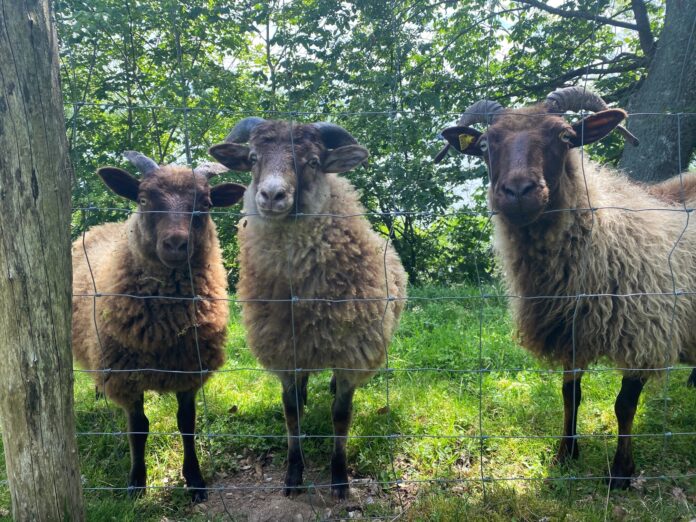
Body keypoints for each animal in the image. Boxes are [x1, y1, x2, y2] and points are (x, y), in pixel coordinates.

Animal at [72, 151, 245, 502]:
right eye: (143, 199)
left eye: (206, 204)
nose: (177, 244)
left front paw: (195, 480)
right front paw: (136, 483)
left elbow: (187, 423)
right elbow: (138, 428)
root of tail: (99, 226)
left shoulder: (189, 370)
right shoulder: (126, 377)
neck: (166, 327)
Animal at [208, 119, 408, 499]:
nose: (272, 195)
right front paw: (293, 475)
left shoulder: (350, 357)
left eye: (314, 162)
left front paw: (339, 479)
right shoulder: (285, 353)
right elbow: (291, 415)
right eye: (253, 158)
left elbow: (341, 416)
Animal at [436, 86, 696, 489]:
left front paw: (621, 472)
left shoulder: (644, 335)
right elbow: (570, 395)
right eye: (484, 145)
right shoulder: (570, 331)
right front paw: (565, 454)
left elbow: (624, 405)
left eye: (565, 136)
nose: (518, 191)